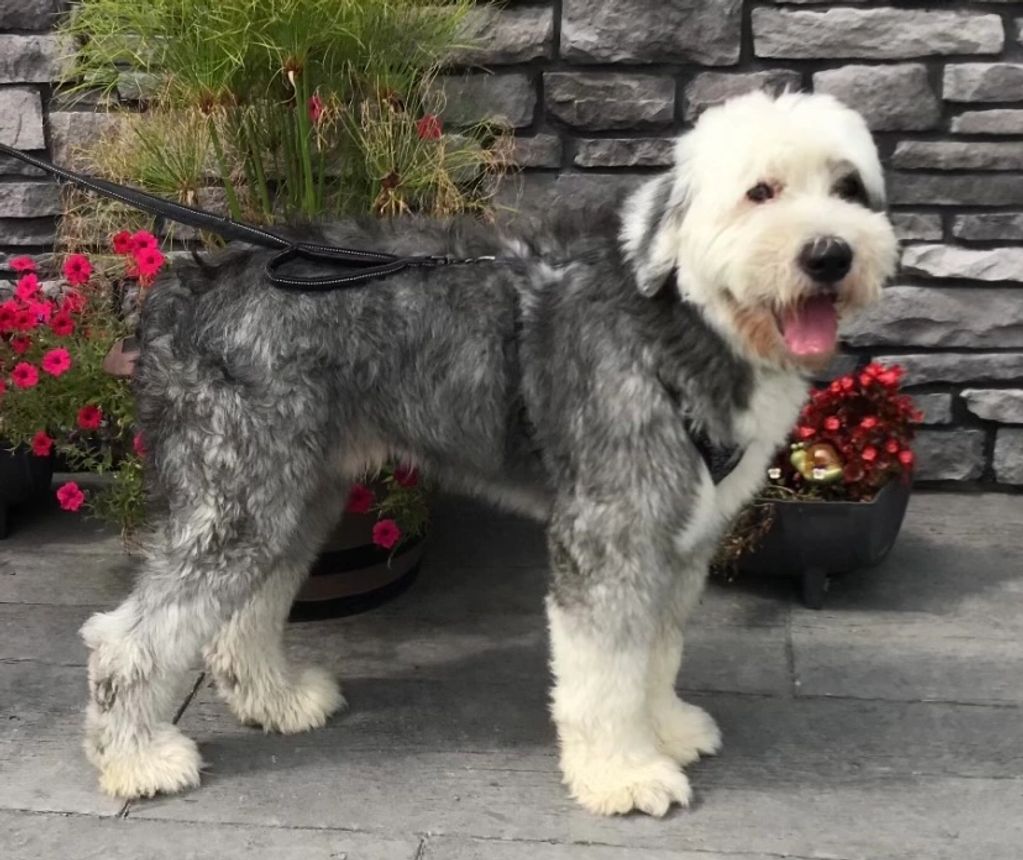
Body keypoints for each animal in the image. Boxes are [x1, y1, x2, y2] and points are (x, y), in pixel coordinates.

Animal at [81, 90, 896, 813]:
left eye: (848, 188)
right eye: (760, 192)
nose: (829, 255)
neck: (678, 317)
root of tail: (188, 287)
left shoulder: (682, 534)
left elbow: (656, 652)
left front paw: (664, 730)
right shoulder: (607, 534)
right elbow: (607, 671)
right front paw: (624, 775)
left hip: (295, 490)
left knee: (242, 611)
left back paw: (275, 701)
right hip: (240, 493)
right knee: (126, 638)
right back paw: (137, 759)